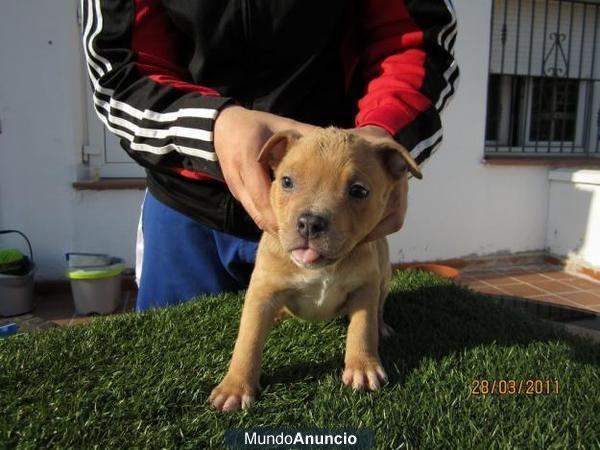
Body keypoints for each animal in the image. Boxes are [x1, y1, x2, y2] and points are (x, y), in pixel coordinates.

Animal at [209, 126, 420, 412]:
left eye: (358, 191)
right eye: (287, 182)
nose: (310, 222)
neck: (321, 269)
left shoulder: (365, 289)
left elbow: (362, 329)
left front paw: (362, 367)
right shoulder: (262, 292)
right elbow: (248, 341)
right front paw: (235, 388)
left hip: (384, 279)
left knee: (378, 309)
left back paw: (382, 327)